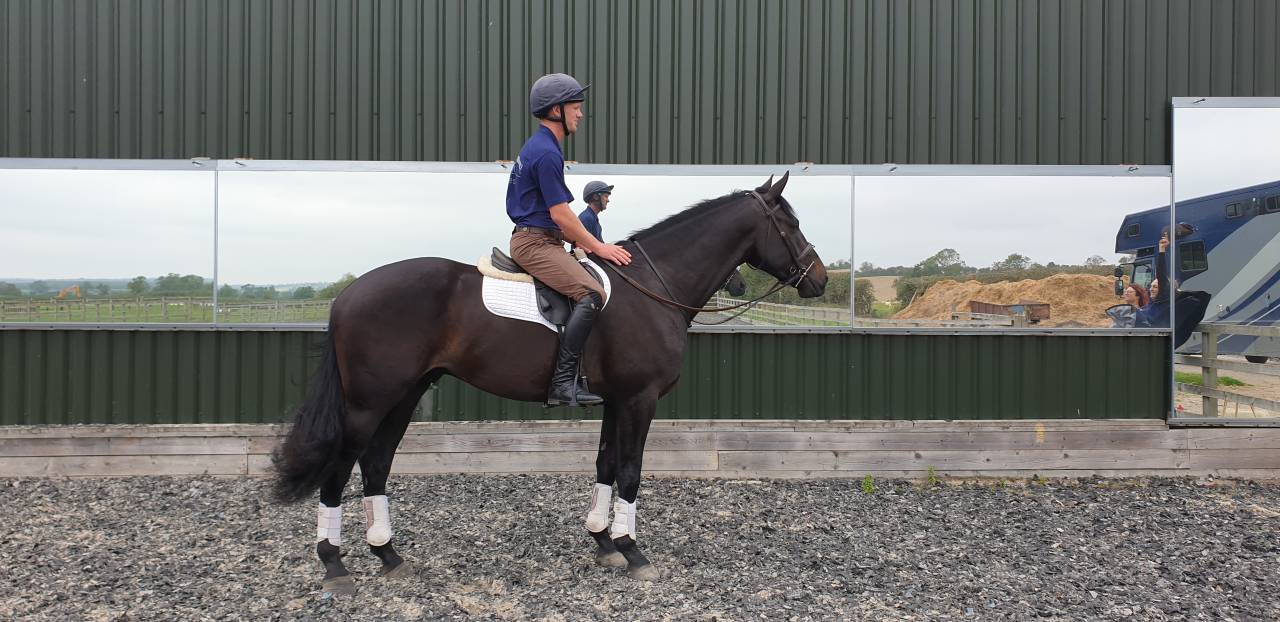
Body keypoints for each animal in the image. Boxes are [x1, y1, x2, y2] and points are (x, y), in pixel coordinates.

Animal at [274, 172, 827, 594]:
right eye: (792, 223)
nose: (820, 280)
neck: (654, 285)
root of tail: (349, 295)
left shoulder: (614, 402)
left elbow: (605, 464)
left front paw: (603, 541)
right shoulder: (639, 400)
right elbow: (630, 471)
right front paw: (633, 551)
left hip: (405, 394)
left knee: (376, 463)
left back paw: (388, 554)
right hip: (369, 402)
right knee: (340, 467)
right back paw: (334, 564)